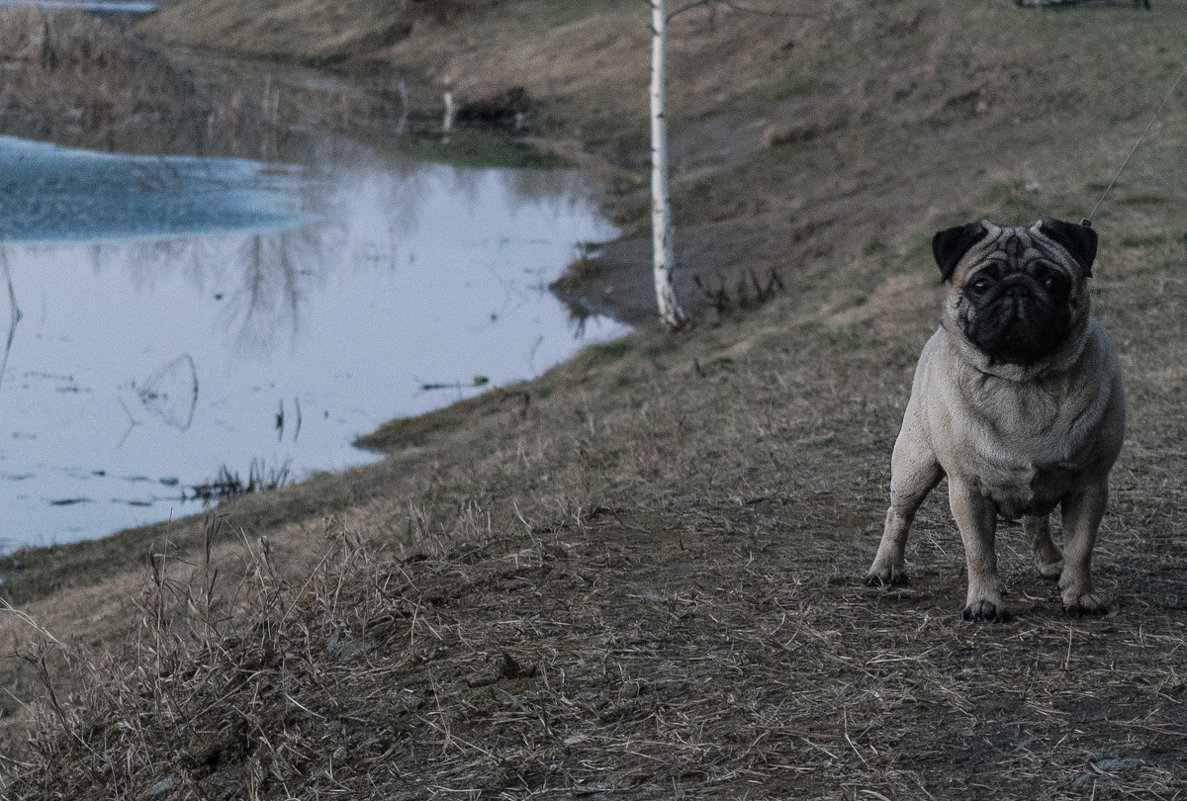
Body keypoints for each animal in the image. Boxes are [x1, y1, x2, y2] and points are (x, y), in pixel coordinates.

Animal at [868, 220, 1125, 626]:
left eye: (1052, 281)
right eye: (980, 284)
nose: (1017, 288)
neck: (1022, 380)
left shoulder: (1090, 486)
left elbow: (1081, 548)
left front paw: (1080, 597)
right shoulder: (968, 491)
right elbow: (980, 552)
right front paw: (984, 603)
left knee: (1036, 520)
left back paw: (1051, 562)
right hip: (914, 466)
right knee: (899, 515)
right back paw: (885, 568)